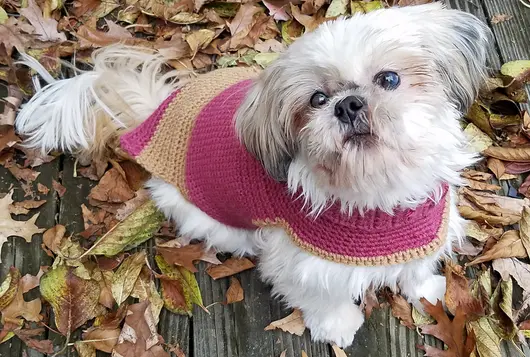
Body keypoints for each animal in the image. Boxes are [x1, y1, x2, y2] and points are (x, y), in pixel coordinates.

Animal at [14, 2, 488, 348]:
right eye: (317, 100)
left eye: (389, 79)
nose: (348, 104)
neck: (375, 189)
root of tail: (159, 116)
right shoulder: (303, 262)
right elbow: (323, 297)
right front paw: (337, 325)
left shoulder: (425, 227)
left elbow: (416, 267)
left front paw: (426, 289)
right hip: (210, 216)